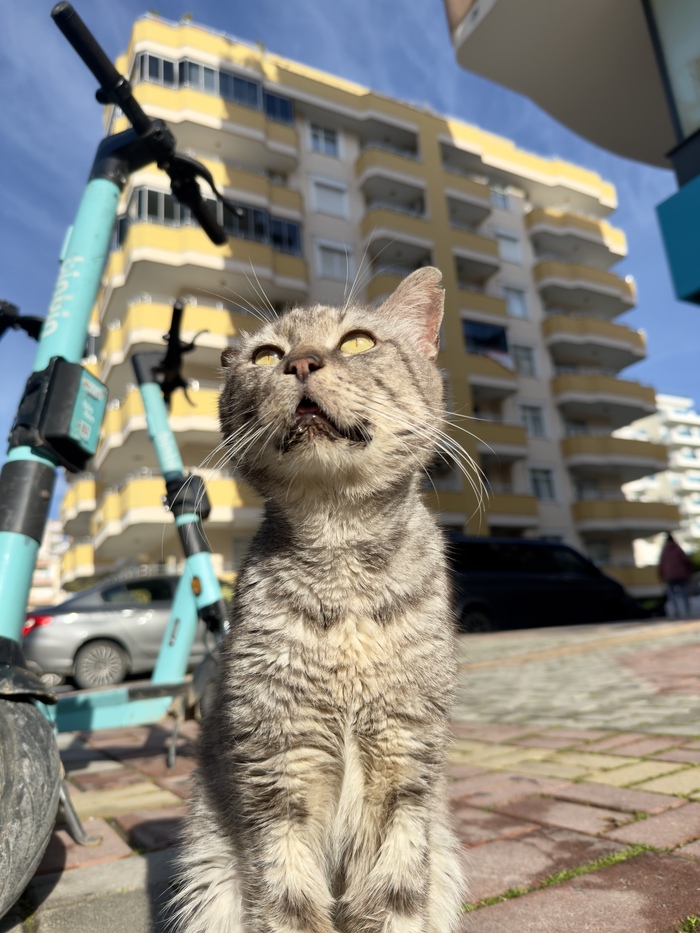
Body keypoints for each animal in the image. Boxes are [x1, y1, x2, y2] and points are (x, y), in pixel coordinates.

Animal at [171, 267, 466, 932]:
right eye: (265, 355)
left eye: (357, 342)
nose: (301, 362)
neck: (342, 553)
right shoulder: (278, 765)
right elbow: (288, 902)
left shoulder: (408, 760)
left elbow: (398, 896)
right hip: (208, 869)